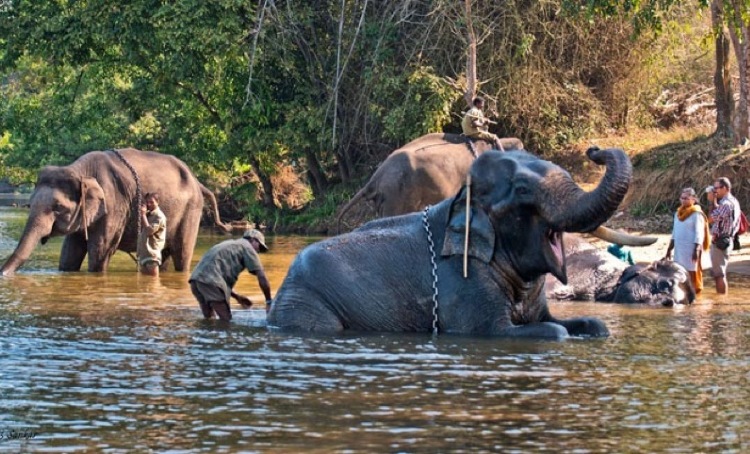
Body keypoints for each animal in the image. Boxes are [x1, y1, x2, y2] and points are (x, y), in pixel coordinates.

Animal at [0, 150, 229, 276]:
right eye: (30, 205)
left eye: (57, 208)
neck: (80, 171)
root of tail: (199, 183)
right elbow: (70, 253)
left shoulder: (114, 204)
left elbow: (100, 251)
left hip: (191, 211)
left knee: (181, 253)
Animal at [270, 147, 636, 338]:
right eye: (521, 189)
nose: (595, 151)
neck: (463, 199)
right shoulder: (462, 284)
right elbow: (534, 331)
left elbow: (587, 323)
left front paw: (592, 328)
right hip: (307, 305)